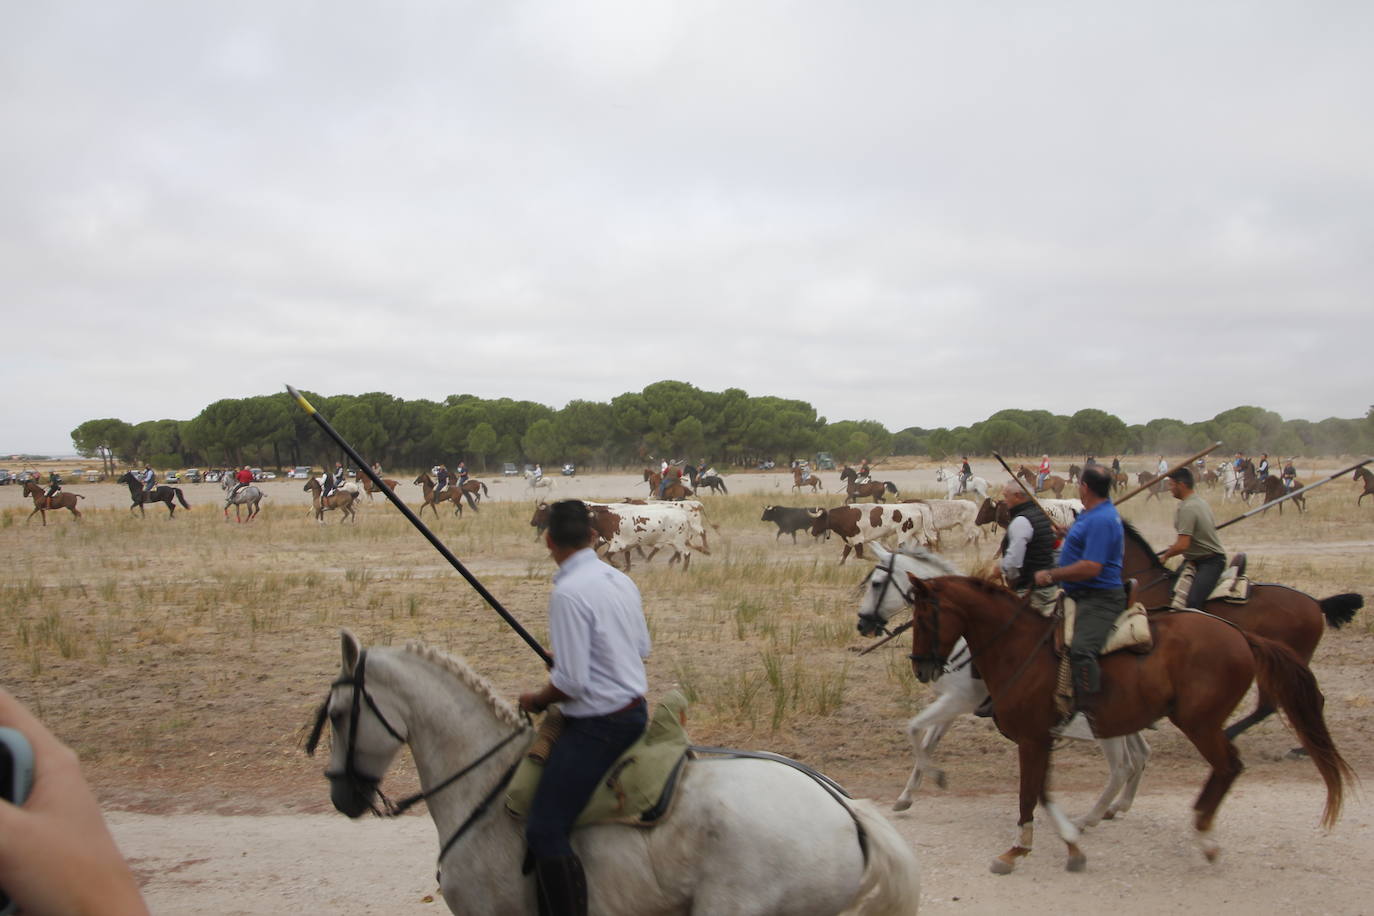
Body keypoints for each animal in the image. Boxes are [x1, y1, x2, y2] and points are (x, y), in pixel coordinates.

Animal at [857, 543, 1148, 829]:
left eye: (876, 583)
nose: (861, 623)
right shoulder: (952, 705)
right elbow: (927, 744)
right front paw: (906, 797)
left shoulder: (957, 700)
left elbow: (914, 728)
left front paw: (936, 777)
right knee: (1140, 753)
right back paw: (1117, 806)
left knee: (1126, 762)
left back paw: (1096, 814)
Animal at [901, 579, 1352, 873]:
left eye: (923, 616)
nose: (922, 668)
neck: (1020, 649)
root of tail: (1241, 635)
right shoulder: (1041, 738)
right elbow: (1042, 792)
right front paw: (1071, 845)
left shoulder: (1030, 738)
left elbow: (1028, 794)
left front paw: (1017, 849)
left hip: (1198, 723)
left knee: (1226, 766)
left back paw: (1202, 834)